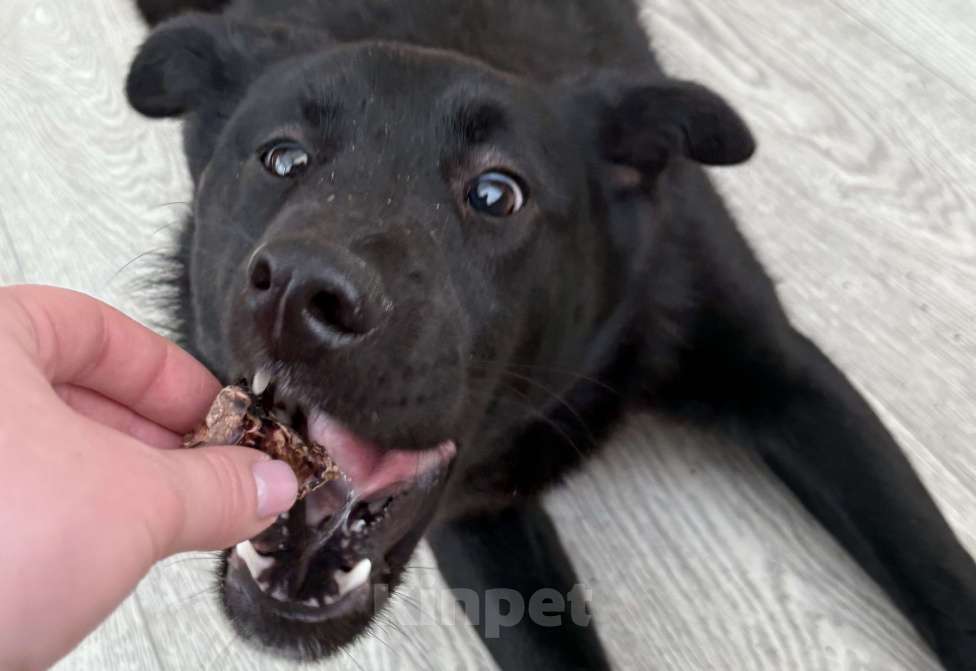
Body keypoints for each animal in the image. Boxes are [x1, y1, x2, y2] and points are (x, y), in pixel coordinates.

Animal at [125, 0, 976, 668]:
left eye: (496, 192)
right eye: (283, 157)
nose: (302, 291)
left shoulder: (788, 375)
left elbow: (934, 563)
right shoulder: (477, 520)